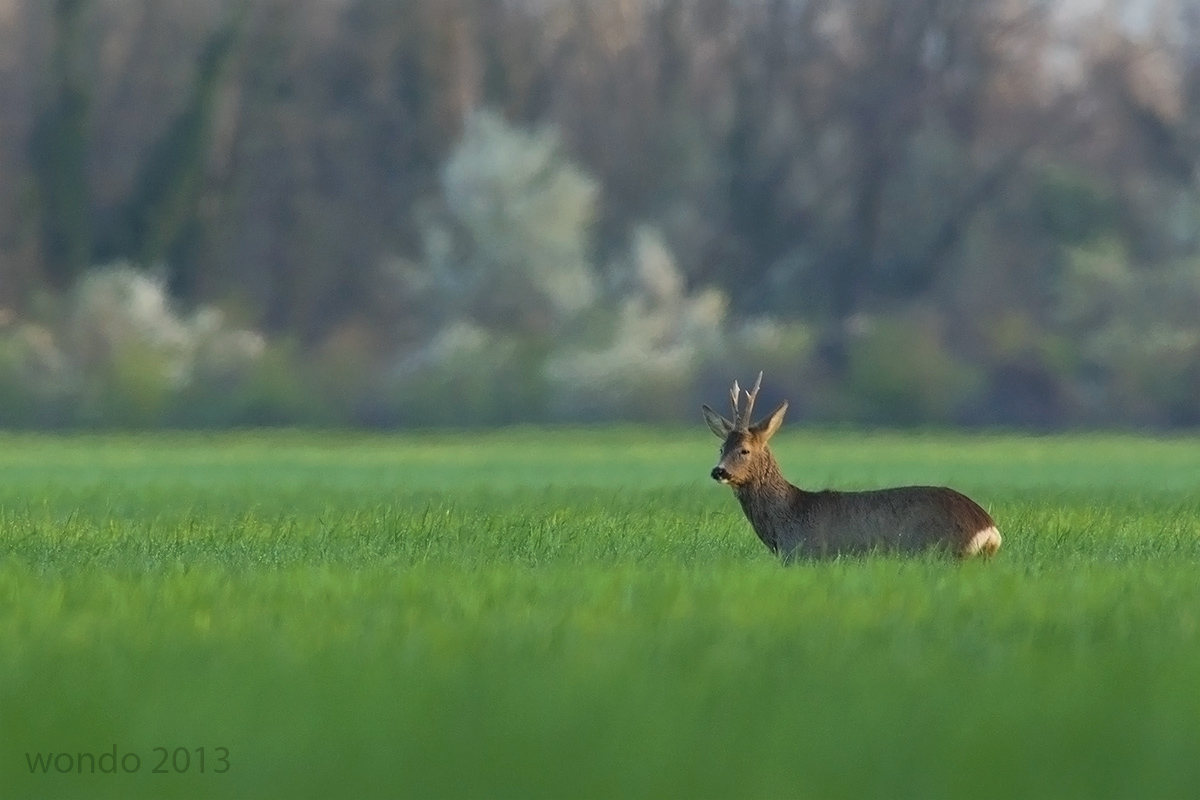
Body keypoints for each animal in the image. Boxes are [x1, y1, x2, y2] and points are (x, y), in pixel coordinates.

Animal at [702, 373, 1001, 560]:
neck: (788, 518)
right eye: (721, 448)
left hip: (944, 552)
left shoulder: (807, 554)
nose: (719, 471)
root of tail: (988, 530)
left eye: (744, 450)